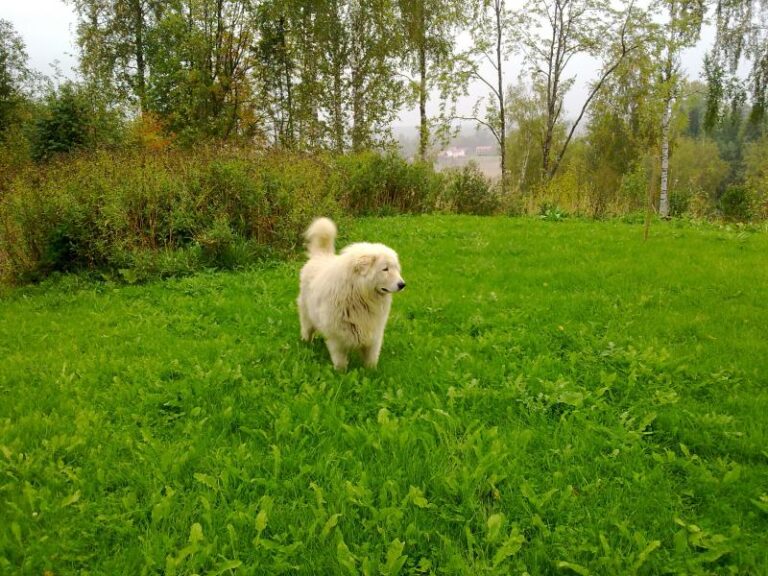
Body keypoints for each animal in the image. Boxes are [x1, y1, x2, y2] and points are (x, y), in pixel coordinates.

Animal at [298, 216, 408, 368]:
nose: (402, 284)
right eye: (385, 269)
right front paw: (341, 372)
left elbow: (371, 358)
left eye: (395, 268)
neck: (359, 295)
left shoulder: (374, 333)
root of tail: (321, 255)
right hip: (307, 316)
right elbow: (340, 361)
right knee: (307, 330)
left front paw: (371, 371)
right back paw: (306, 344)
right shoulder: (337, 337)